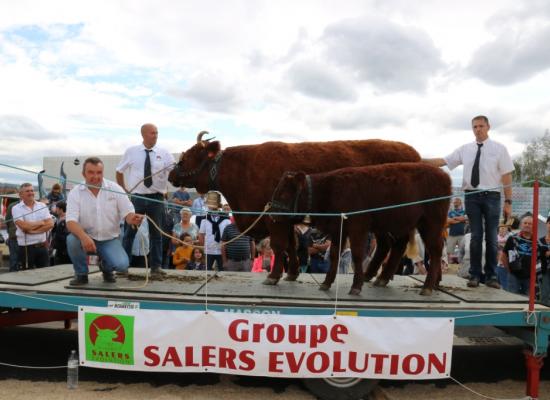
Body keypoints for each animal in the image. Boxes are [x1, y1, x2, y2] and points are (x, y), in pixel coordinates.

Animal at [170, 134, 420, 284]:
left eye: (190, 155)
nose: (172, 174)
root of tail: (414, 154)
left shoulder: (274, 219)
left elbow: (280, 245)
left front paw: (273, 276)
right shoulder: (282, 219)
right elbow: (291, 245)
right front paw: (291, 273)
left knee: (396, 244)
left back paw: (381, 277)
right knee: (388, 245)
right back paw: (373, 276)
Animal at [272, 161, 452, 296]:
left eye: (284, 194)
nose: (272, 213)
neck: (329, 189)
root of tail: (443, 175)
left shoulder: (357, 228)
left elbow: (357, 255)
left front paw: (356, 286)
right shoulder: (338, 230)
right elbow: (334, 255)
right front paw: (326, 283)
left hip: (431, 224)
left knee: (435, 250)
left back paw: (427, 287)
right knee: (397, 247)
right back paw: (383, 279)